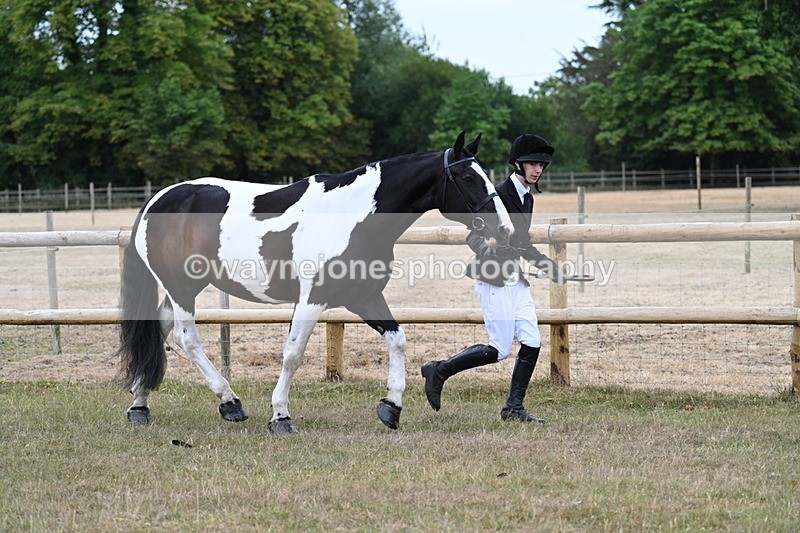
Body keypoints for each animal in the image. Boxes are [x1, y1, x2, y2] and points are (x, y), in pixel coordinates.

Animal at [118, 131, 513, 434]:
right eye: (468, 178)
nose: (505, 227)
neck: (353, 217)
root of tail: (157, 200)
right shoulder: (312, 299)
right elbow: (293, 355)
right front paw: (280, 416)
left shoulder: (365, 297)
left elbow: (398, 340)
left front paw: (391, 406)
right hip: (181, 288)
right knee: (188, 339)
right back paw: (229, 402)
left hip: (184, 287)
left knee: (160, 330)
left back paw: (140, 406)